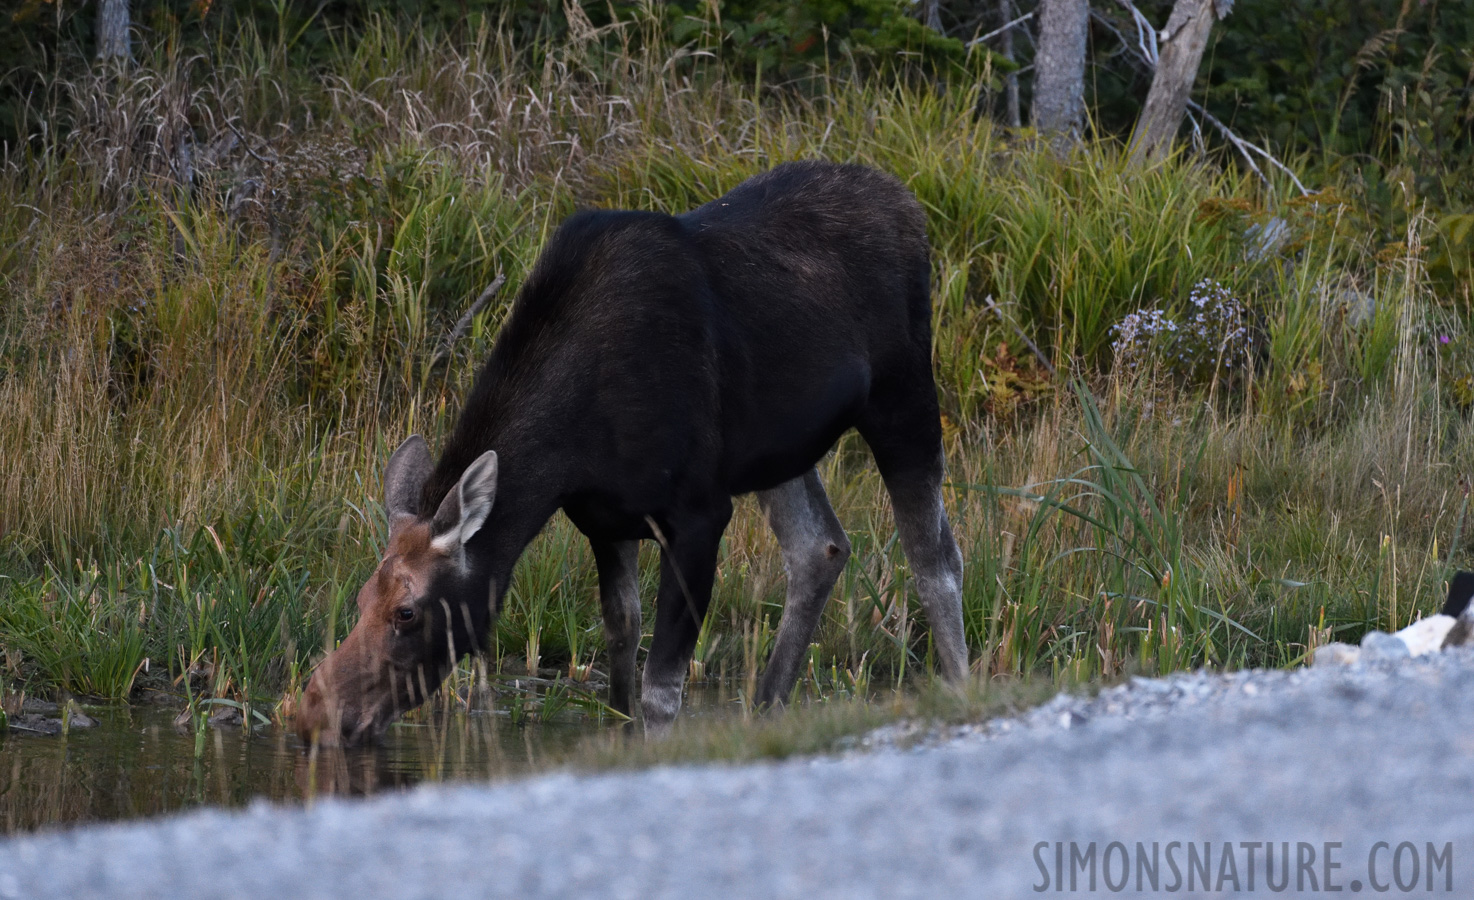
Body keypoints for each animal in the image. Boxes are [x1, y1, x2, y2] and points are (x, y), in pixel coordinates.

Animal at [294, 162, 972, 745]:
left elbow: (661, 690)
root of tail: (907, 204)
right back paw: (766, 706)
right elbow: (621, 661)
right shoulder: (605, 521)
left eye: (407, 612)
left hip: (904, 396)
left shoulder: (699, 513)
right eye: (361, 599)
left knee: (935, 560)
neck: (571, 451)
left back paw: (961, 686)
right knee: (820, 548)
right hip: (775, 450)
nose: (318, 712)